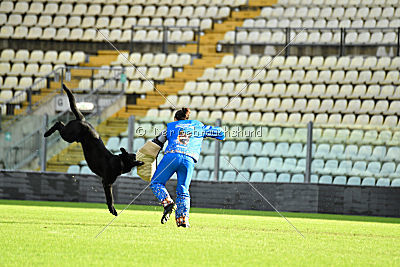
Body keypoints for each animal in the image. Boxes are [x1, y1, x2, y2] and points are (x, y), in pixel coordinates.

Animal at [44, 85, 144, 217]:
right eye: (133, 157)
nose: (140, 158)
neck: (119, 162)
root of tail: (82, 119)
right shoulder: (106, 183)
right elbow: (110, 198)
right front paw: (112, 210)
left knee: (60, 123)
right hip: (68, 135)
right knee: (58, 123)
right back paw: (47, 133)